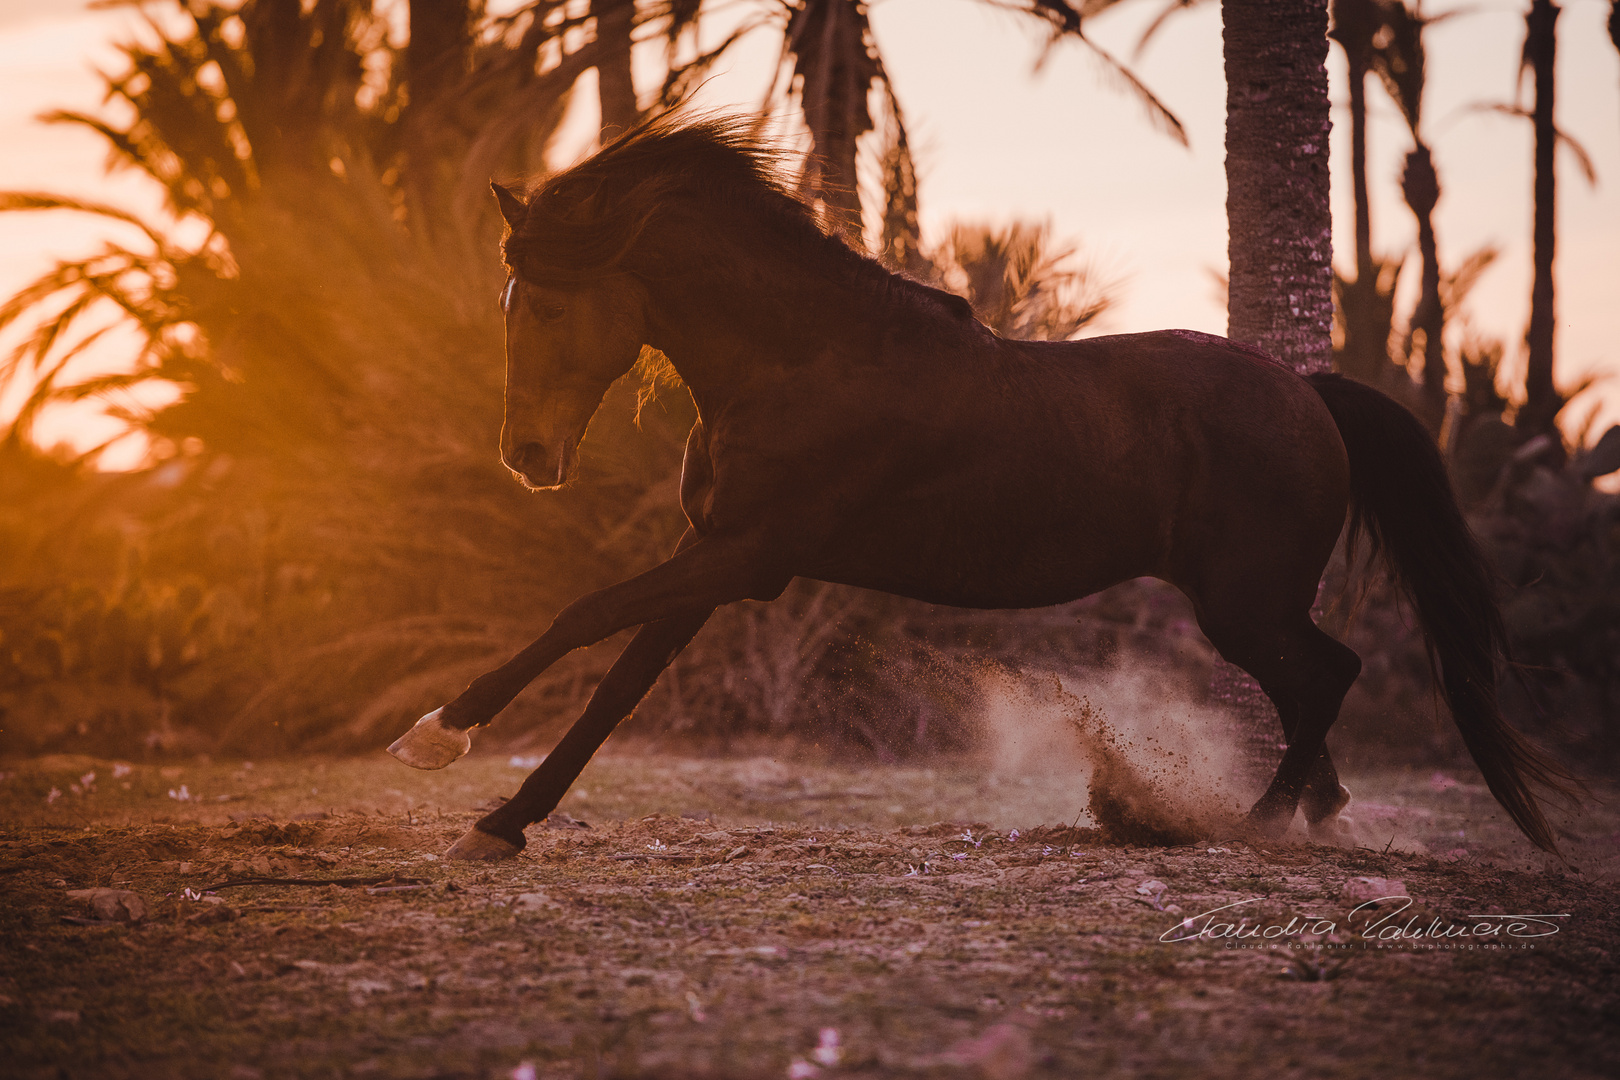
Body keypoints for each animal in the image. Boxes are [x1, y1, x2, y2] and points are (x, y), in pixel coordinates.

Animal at [385, 111, 1574, 861]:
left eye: (543, 305)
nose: (527, 458)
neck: (805, 358)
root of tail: (1309, 391)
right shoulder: (714, 559)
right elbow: (616, 682)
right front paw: (499, 817)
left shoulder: (748, 555)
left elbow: (584, 618)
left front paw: (439, 743)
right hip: (1252, 606)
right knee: (1313, 687)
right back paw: (1307, 813)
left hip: (1245, 602)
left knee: (1327, 677)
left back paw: (1259, 823)